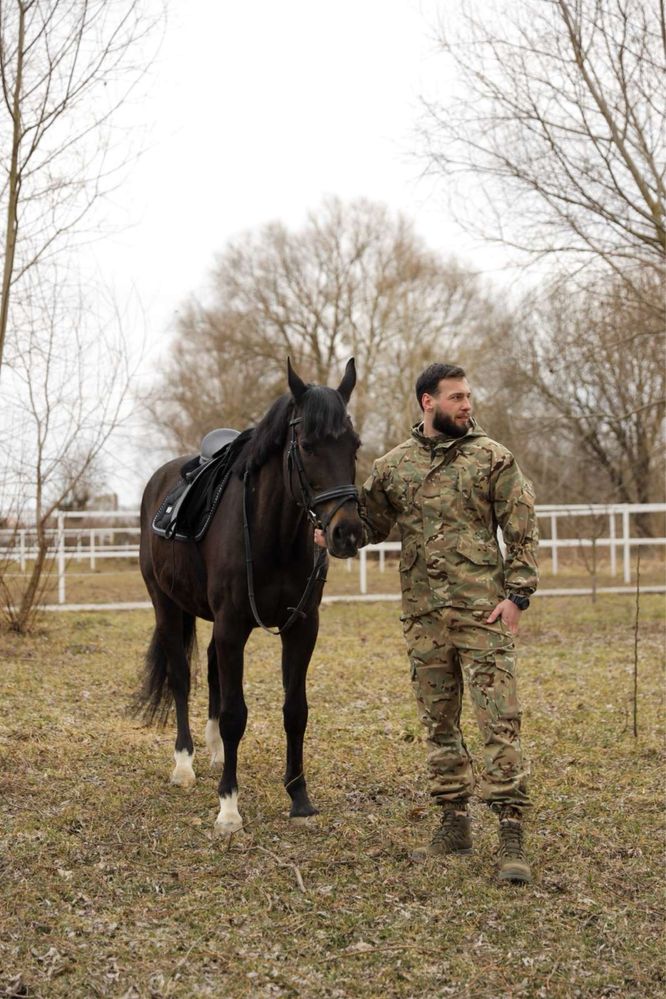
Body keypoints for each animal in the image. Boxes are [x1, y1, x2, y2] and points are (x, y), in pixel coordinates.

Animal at [136, 360, 364, 836]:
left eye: (354, 445)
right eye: (307, 446)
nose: (347, 533)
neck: (271, 534)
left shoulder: (301, 626)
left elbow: (295, 709)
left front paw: (299, 796)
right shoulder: (231, 625)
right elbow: (236, 714)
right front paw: (228, 807)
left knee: (210, 670)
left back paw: (214, 750)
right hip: (166, 605)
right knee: (181, 677)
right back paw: (184, 764)